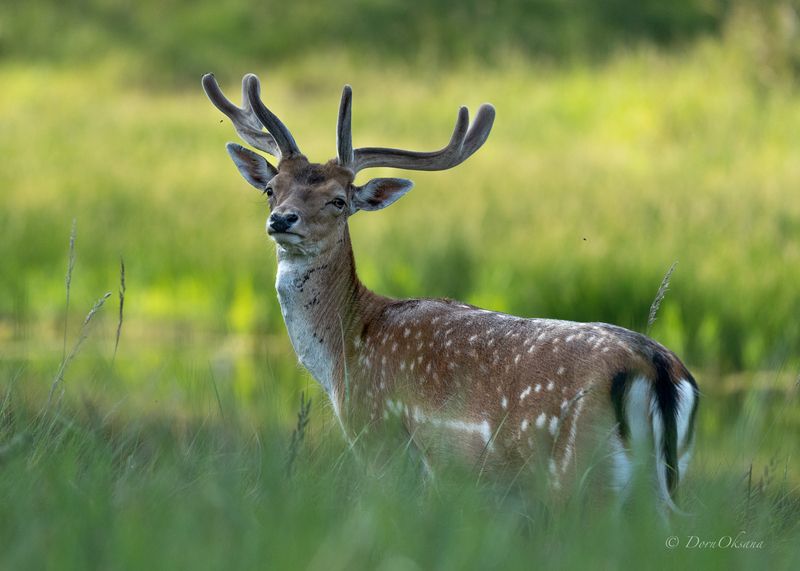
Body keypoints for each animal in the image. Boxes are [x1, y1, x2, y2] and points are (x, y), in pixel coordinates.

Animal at [202, 72, 699, 509]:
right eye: (271, 189)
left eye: (338, 200)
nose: (282, 220)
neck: (343, 354)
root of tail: (658, 369)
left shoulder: (379, 437)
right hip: (662, 482)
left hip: (579, 472)